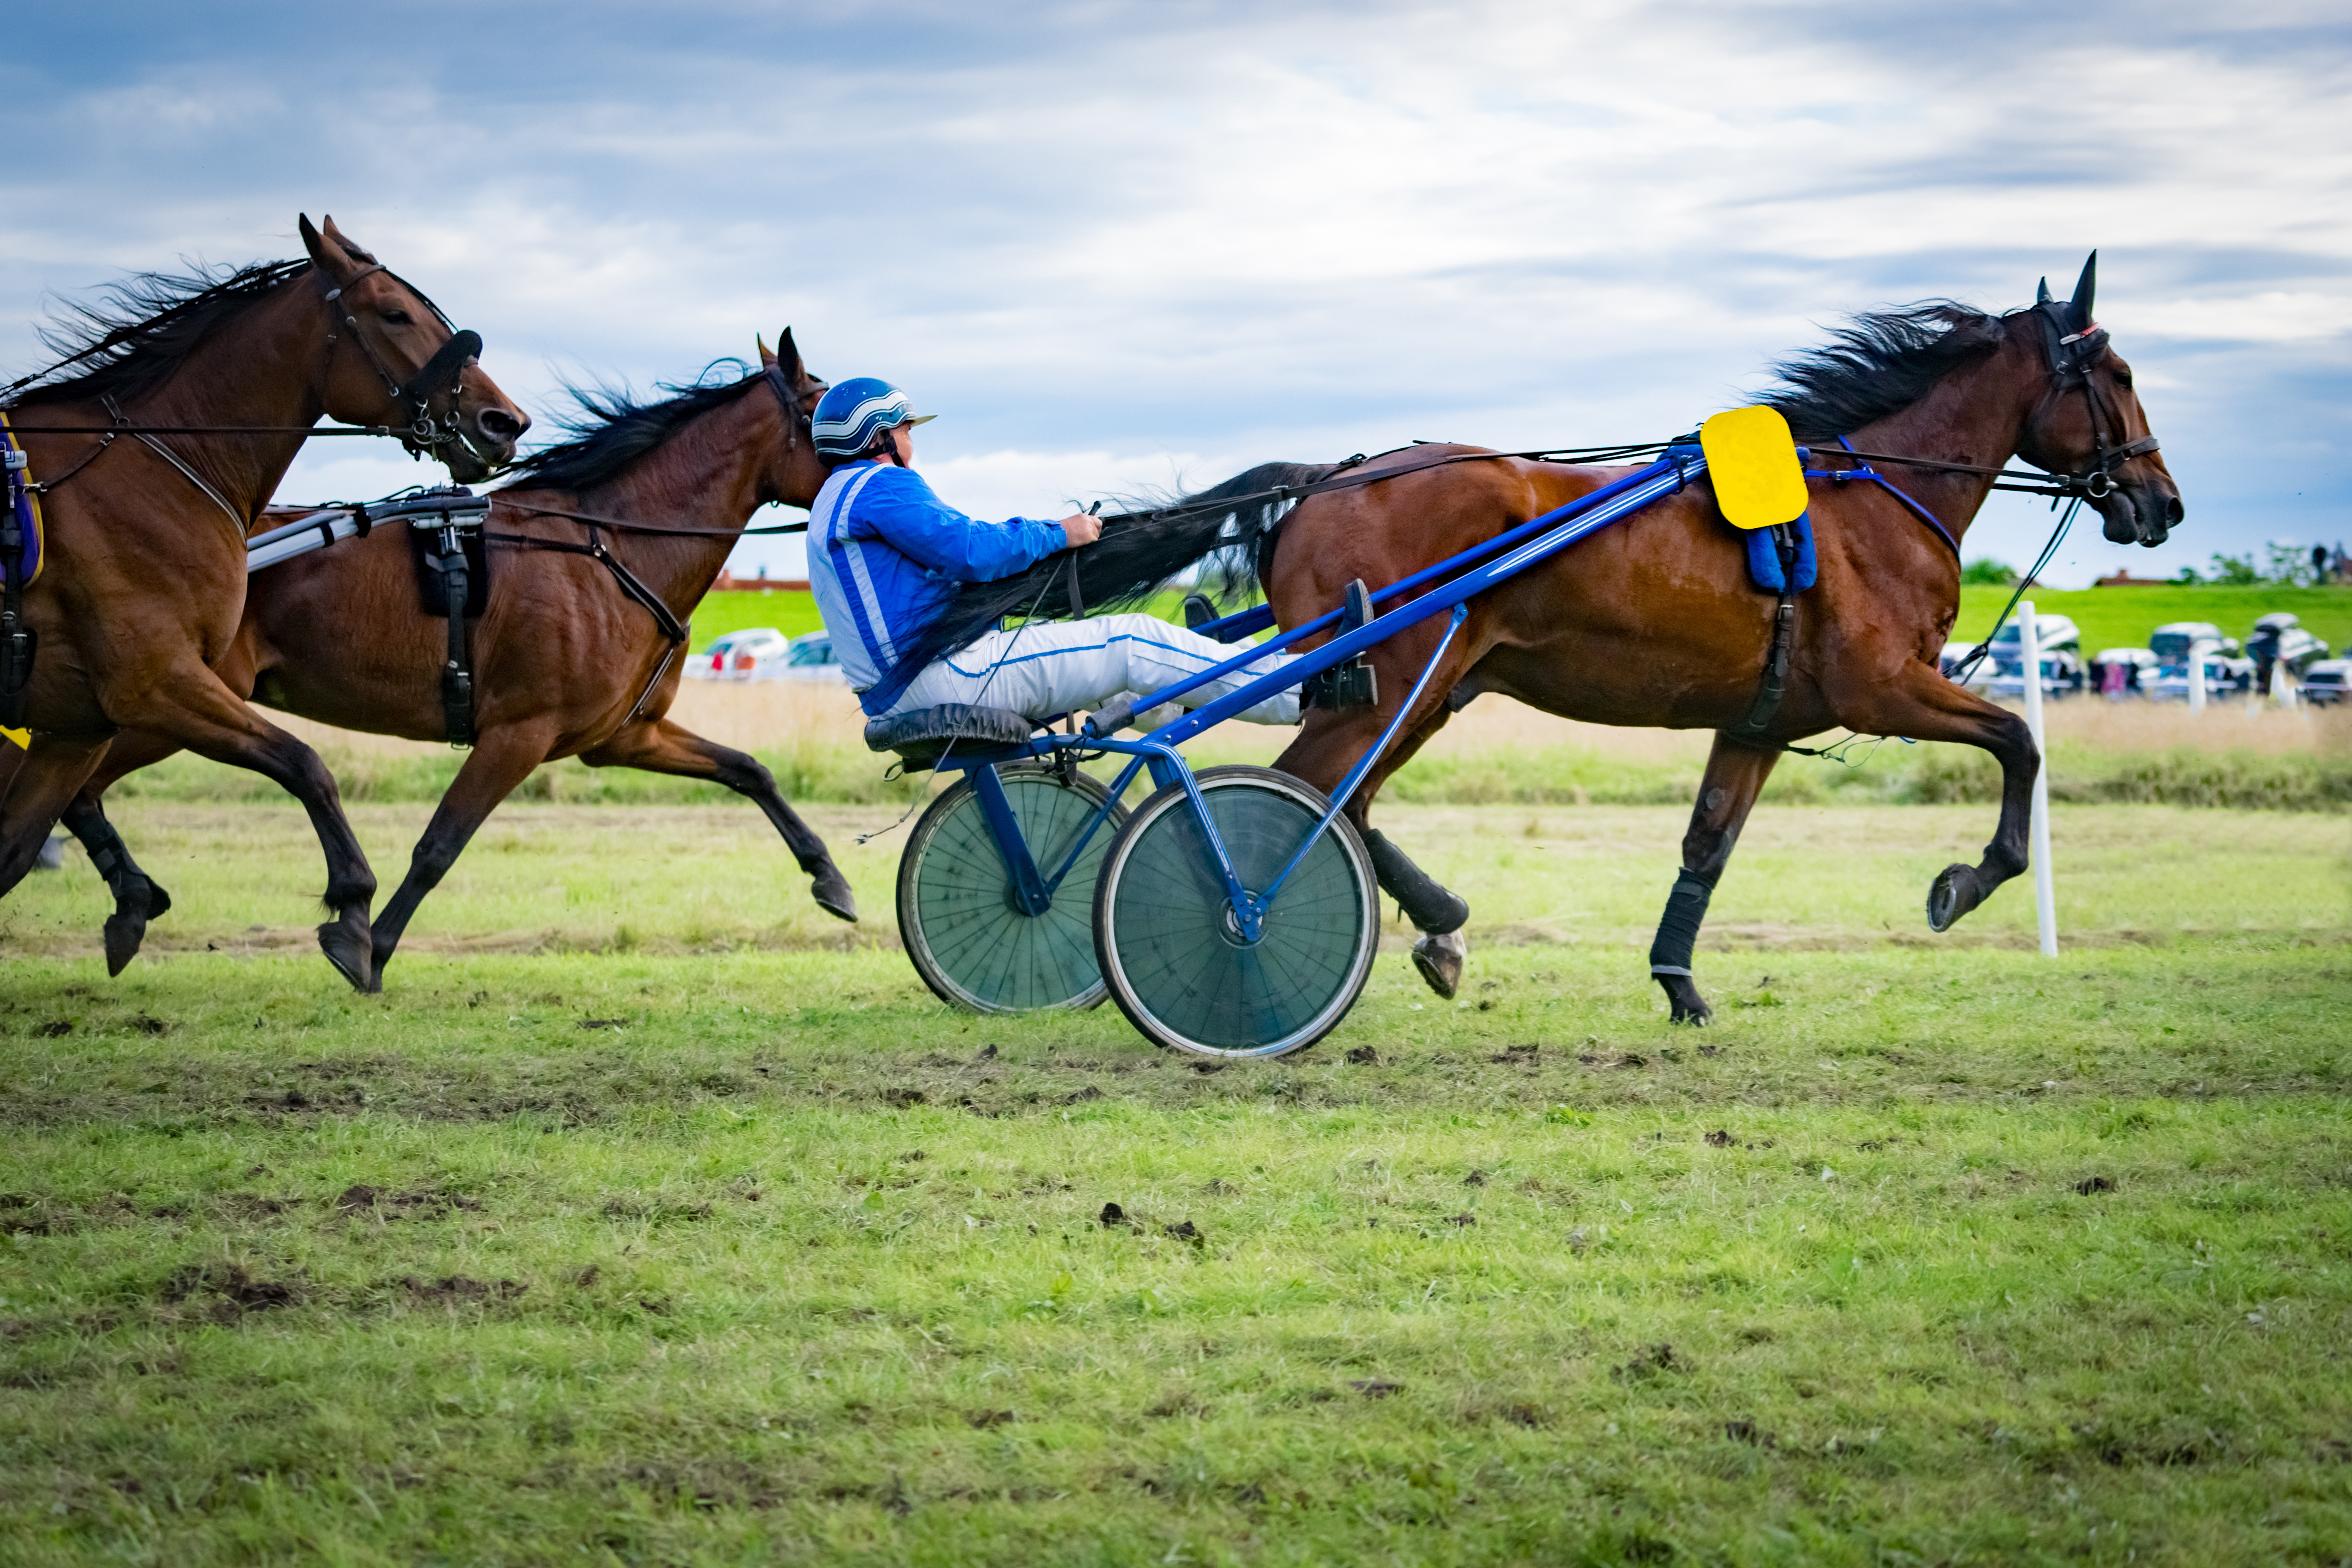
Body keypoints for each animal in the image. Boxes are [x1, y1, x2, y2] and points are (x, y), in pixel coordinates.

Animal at [0, 215, 524, 987]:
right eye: (396, 313)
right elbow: (306, 764)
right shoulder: (155, 681)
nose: (503, 422)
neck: (154, 463)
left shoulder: (78, 720)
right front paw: (352, 906)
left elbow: (13, 850)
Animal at [57, 333, 856, 992]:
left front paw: (830, 878)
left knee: (81, 788)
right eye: (838, 416)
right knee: (83, 785)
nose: (888, 470)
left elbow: (749, 770)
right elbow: (440, 845)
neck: (608, 548)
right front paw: (368, 946)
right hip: (172, 698)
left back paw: (130, 903)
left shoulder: (622, 737)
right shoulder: (519, 733)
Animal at [908, 253, 2173, 1025]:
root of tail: (1328, 477)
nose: (2160, 505)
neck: (1864, 501)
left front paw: (1679, 982)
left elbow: (1707, 847)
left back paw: (1439, 926)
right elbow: (2020, 743)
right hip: (1395, 684)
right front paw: (1966, 880)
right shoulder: (1885, 687)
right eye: (2114, 371)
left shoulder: (1760, 717)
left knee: (1345, 803)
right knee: (1301, 797)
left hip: (1416, 689)